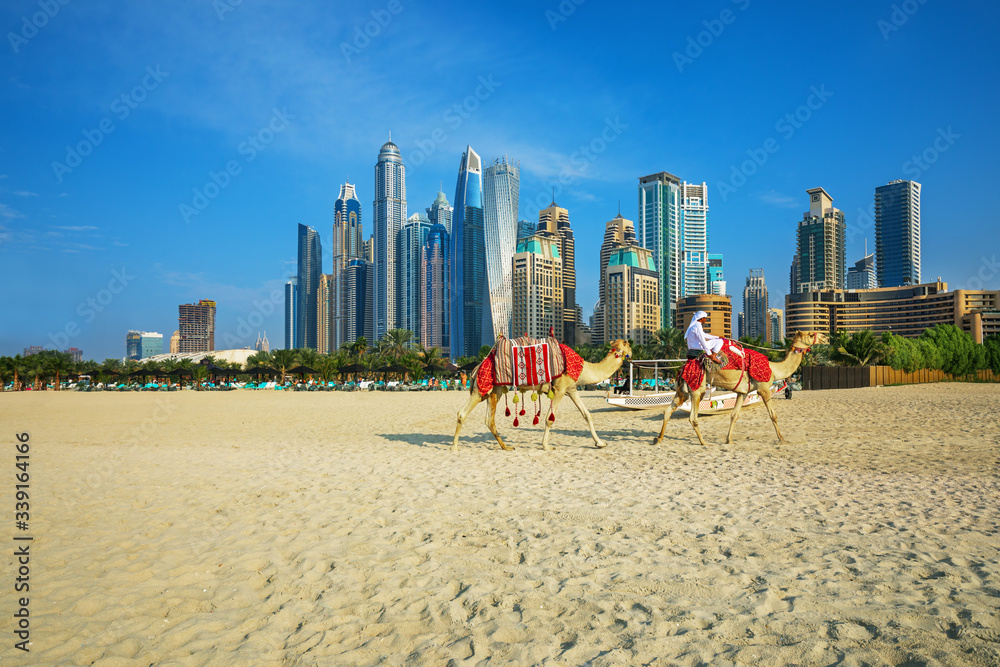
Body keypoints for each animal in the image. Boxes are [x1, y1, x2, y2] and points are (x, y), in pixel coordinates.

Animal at [456, 340, 632, 454]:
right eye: (628, 344)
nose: (631, 353)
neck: (583, 369)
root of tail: (477, 367)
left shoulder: (572, 389)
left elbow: (587, 415)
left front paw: (600, 443)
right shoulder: (559, 389)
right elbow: (549, 418)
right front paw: (547, 446)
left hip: (493, 391)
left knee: (488, 419)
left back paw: (506, 447)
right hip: (482, 388)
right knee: (462, 413)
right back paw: (454, 447)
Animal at [652, 330, 824, 446]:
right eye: (810, 334)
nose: (825, 336)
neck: (774, 369)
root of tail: (683, 368)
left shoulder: (743, 392)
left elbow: (734, 415)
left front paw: (729, 440)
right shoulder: (764, 389)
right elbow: (773, 415)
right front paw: (782, 439)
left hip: (683, 390)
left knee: (668, 410)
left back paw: (658, 439)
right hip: (697, 389)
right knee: (692, 417)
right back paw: (703, 442)